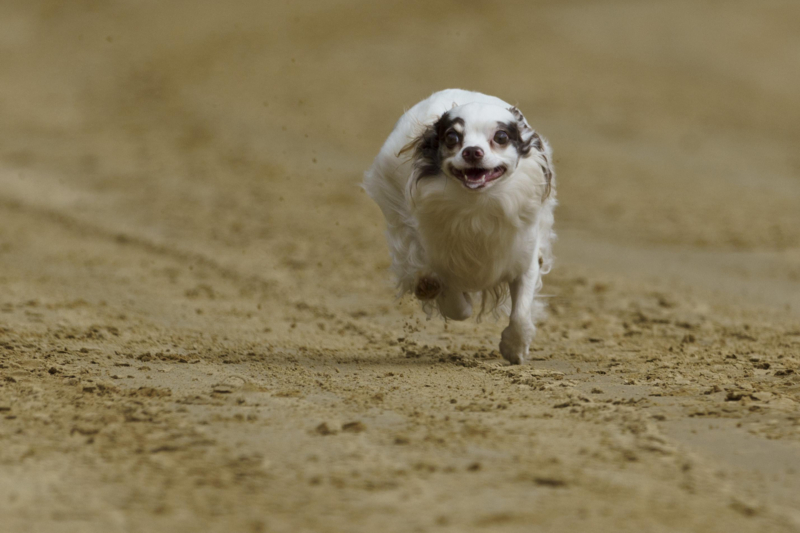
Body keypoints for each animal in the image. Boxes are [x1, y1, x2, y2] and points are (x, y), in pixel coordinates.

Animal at [363, 89, 556, 364]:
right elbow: (457, 304)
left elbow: (520, 313)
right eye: (452, 137)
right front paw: (438, 292)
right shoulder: (438, 257)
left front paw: (514, 349)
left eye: (501, 137)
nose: (472, 151)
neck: (477, 205)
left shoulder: (523, 259)